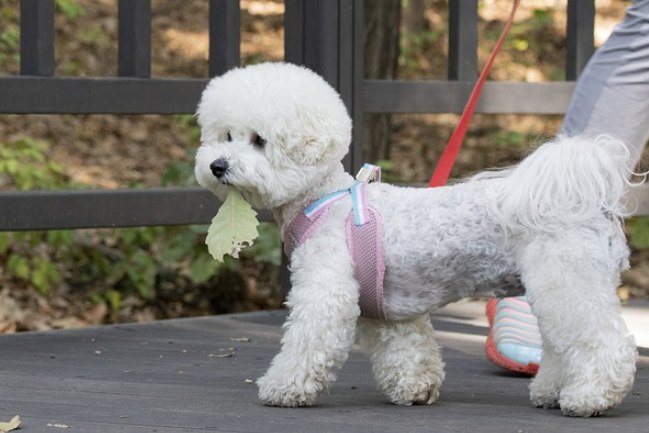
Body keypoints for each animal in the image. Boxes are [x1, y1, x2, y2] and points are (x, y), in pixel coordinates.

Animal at [194, 61, 636, 416]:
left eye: (258, 140)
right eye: (224, 135)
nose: (217, 165)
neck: (323, 199)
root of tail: (588, 203)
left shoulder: (326, 293)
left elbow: (307, 342)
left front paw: (282, 388)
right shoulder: (389, 311)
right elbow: (406, 351)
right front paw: (415, 390)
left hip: (569, 281)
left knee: (605, 343)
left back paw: (591, 397)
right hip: (554, 287)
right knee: (562, 345)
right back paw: (553, 392)